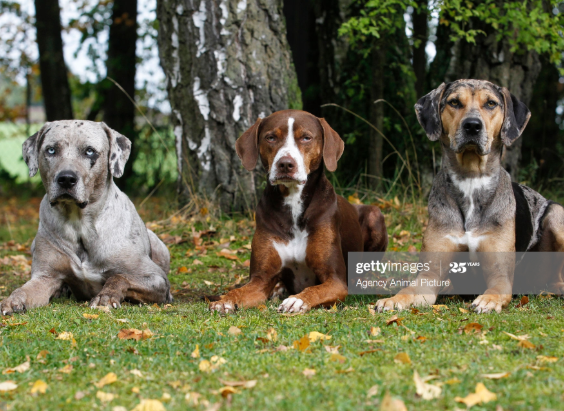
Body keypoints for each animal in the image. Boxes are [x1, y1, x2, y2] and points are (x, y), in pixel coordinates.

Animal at [209, 111, 386, 314]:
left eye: (306, 137)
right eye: (271, 137)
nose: (285, 164)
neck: (293, 204)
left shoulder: (335, 279)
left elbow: (315, 290)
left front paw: (298, 300)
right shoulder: (260, 279)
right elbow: (241, 290)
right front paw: (225, 300)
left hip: (375, 215)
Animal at [376, 79, 564, 312]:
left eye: (491, 103)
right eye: (454, 102)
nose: (472, 125)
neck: (471, 179)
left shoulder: (500, 275)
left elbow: (496, 288)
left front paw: (488, 300)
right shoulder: (429, 274)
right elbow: (411, 289)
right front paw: (393, 300)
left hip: (557, 214)